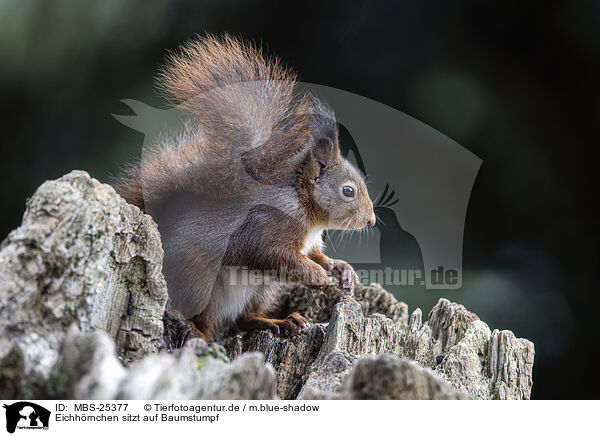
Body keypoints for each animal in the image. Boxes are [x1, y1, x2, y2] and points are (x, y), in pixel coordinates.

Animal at [114, 35, 372, 340]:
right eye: (348, 191)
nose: (371, 220)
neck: (306, 209)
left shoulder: (307, 244)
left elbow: (316, 255)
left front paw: (340, 269)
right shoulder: (265, 224)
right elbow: (265, 253)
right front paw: (317, 275)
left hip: (263, 289)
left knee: (242, 319)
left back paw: (278, 322)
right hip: (197, 281)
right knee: (202, 318)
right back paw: (195, 330)